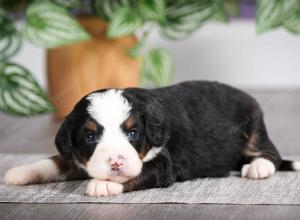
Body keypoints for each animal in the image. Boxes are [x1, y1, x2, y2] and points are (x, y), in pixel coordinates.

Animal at [5, 80, 300, 196]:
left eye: (133, 133)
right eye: (90, 136)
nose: (115, 162)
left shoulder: (163, 164)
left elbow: (136, 173)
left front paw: (104, 185)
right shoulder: (77, 156)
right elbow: (55, 161)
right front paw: (21, 172)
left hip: (254, 125)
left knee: (271, 153)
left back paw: (259, 167)